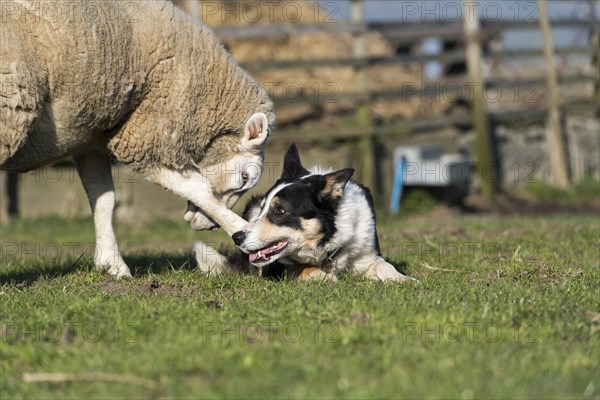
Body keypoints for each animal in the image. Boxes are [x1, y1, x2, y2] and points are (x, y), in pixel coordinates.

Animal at [0, 0, 276, 278]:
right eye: (245, 177)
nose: (206, 227)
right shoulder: (147, 135)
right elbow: (200, 191)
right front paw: (243, 229)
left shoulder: (92, 137)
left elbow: (103, 200)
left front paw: (112, 264)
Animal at [195, 144, 414, 282]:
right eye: (265, 208)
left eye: (280, 210)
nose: (237, 237)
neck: (329, 240)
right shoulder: (282, 267)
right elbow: (301, 266)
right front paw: (325, 277)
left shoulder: (368, 254)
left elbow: (385, 265)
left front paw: (403, 279)